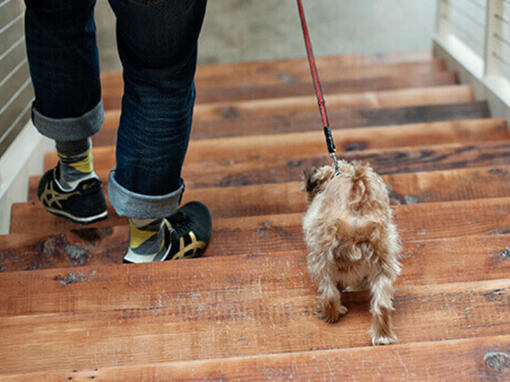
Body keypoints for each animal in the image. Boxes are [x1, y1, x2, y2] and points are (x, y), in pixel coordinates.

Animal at [300, 160, 400, 344]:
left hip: (321, 255)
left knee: (329, 293)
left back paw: (331, 314)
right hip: (383, 261)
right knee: (382, 304)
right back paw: (383, 336)